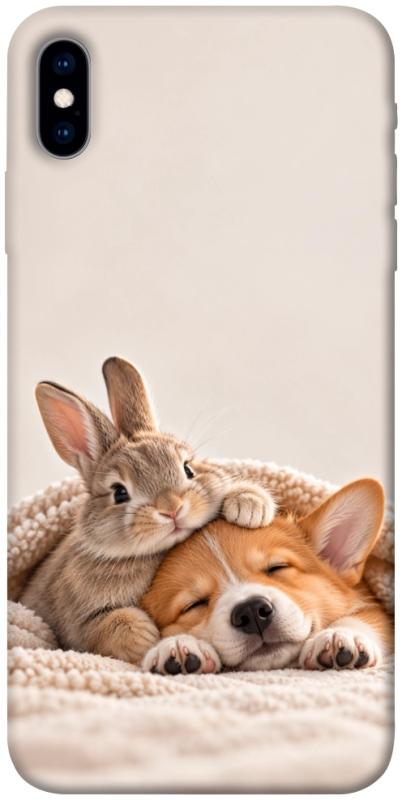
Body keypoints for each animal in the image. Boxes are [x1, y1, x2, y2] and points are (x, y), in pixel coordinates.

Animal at [20, 357, 276, 664]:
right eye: (119, 492)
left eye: (188, 469)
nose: (172, 509)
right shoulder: (78, 623)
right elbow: (110, 626)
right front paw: (148, 637)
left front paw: (249, 505)